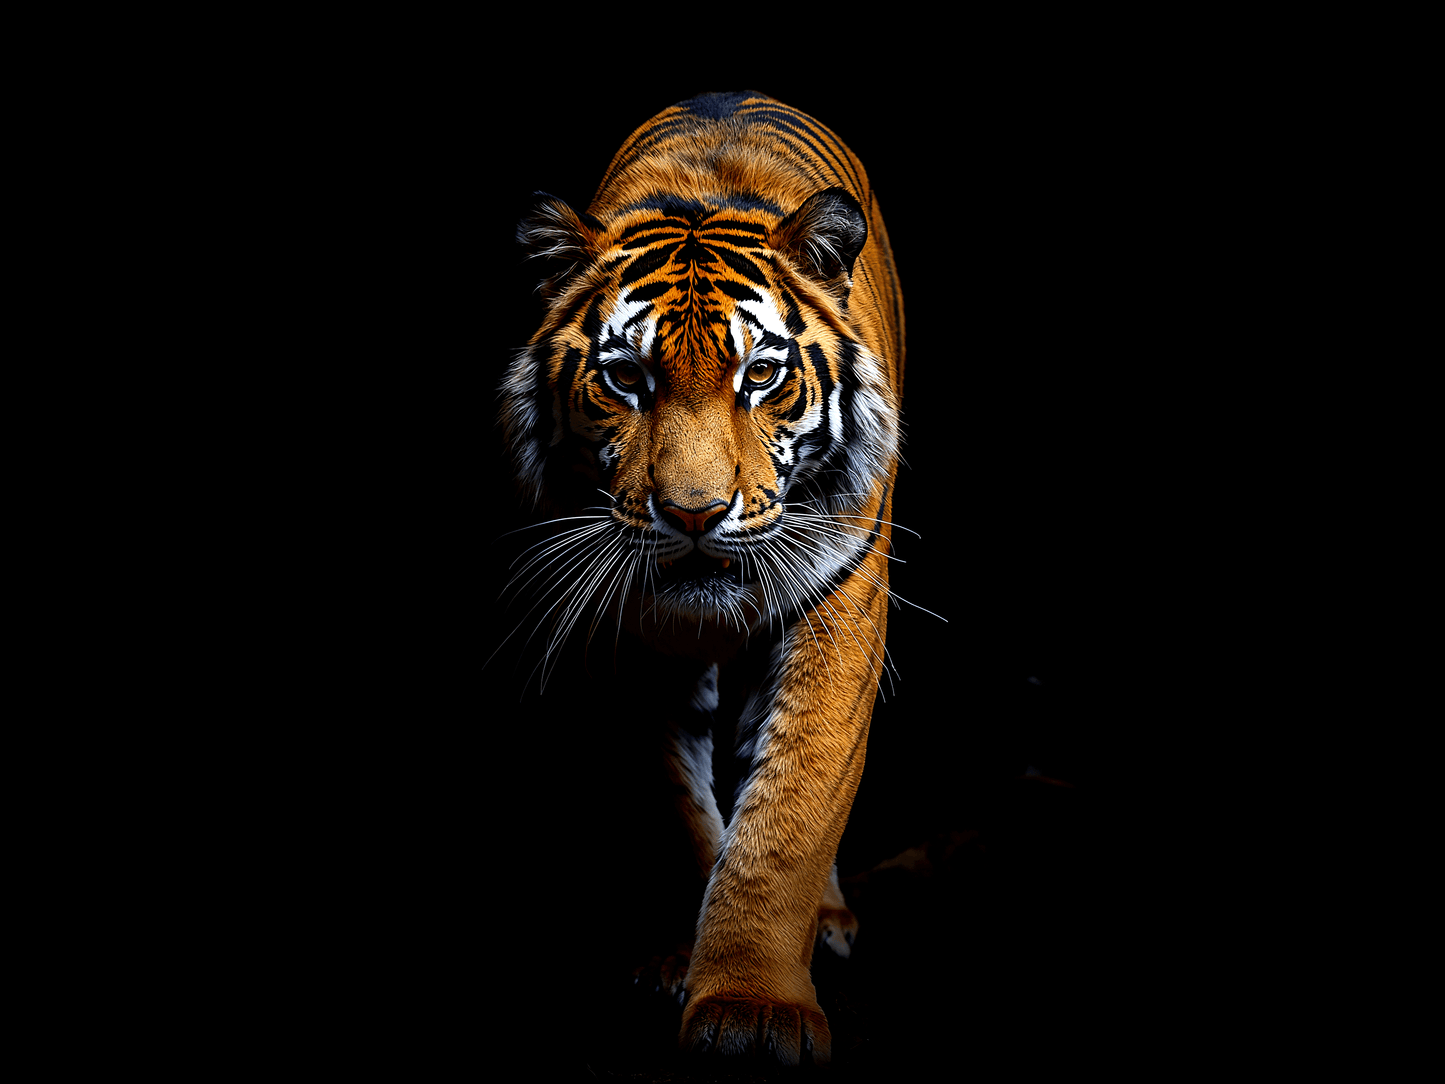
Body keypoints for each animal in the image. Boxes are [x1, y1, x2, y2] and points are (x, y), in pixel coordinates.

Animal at [501, 90, 904, 1065]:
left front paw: (753, 1006)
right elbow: (676, 806)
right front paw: (680, 962)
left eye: (760, 375)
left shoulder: (838, 605)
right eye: (624, 378)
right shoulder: (620, 628)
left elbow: (790, 808)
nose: (692, 513)